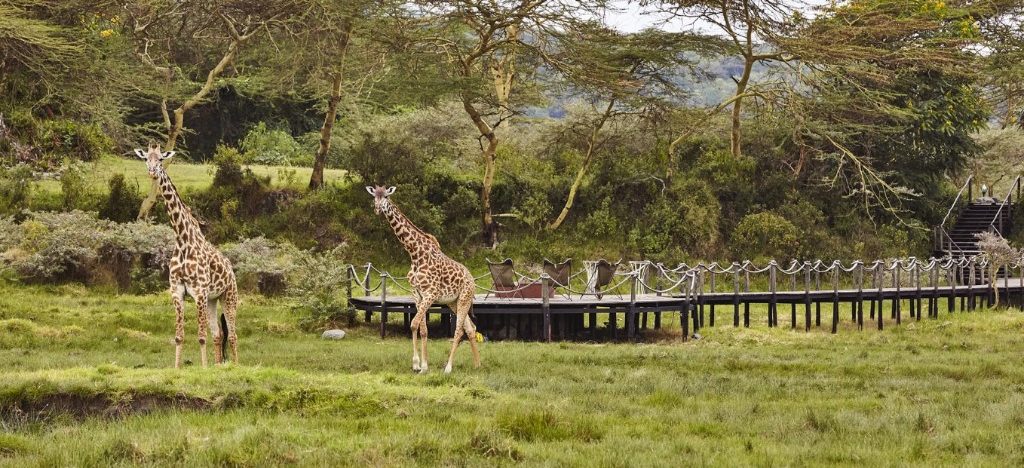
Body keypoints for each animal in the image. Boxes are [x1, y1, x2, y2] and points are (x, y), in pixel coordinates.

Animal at [135, 143, 238, 368]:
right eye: (146, 158)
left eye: (161, 159)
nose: (152, 172)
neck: (182, 240)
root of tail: (231, 269)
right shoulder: (177, 291)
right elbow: (179, 336)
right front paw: (178, 368)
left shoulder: (199, 292)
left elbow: (201, 336)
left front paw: (204, 368)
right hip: (212, 299)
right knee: (218, 334)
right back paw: (219, 365)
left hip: (229, 296)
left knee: (233, 335)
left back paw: (235, 366)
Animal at [368, 185, 479, 372]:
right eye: (374, 197)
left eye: (386, 196)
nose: (377, 209)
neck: (414, 254)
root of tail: (472, 280)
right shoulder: (417, 294)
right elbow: (422, 329)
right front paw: (422, 365)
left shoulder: (431, 293)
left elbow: (413, 324)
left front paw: (418, 364)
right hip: (453, 302)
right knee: (471, 328)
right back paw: (477, 364)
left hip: (464, 298)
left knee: (459, 330)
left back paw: (448, 368)